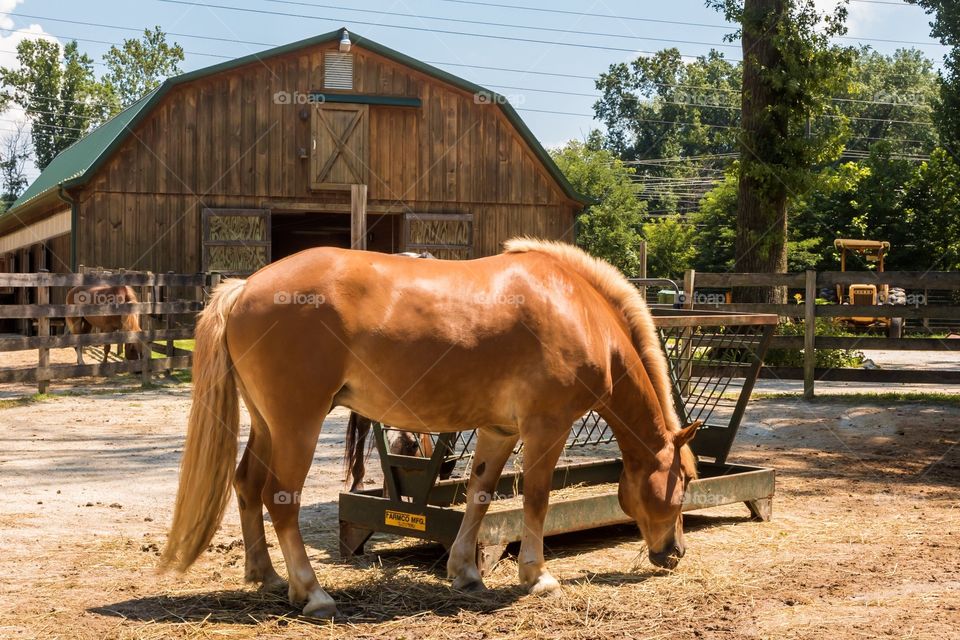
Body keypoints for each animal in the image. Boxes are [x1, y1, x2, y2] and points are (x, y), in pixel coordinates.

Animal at [163, 238, 696, 616]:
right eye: (686, 481)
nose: (675, 552)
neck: (577, 310)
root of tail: (245, 288)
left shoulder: (499, 431)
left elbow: (479, 494)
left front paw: (465, 572)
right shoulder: (547, 428)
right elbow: (536, 499)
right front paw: (537, 576)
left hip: (266, 424)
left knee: (247, 486)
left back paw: (269, 577)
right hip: (298, 424)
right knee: (280, 499)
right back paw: (312, 593)